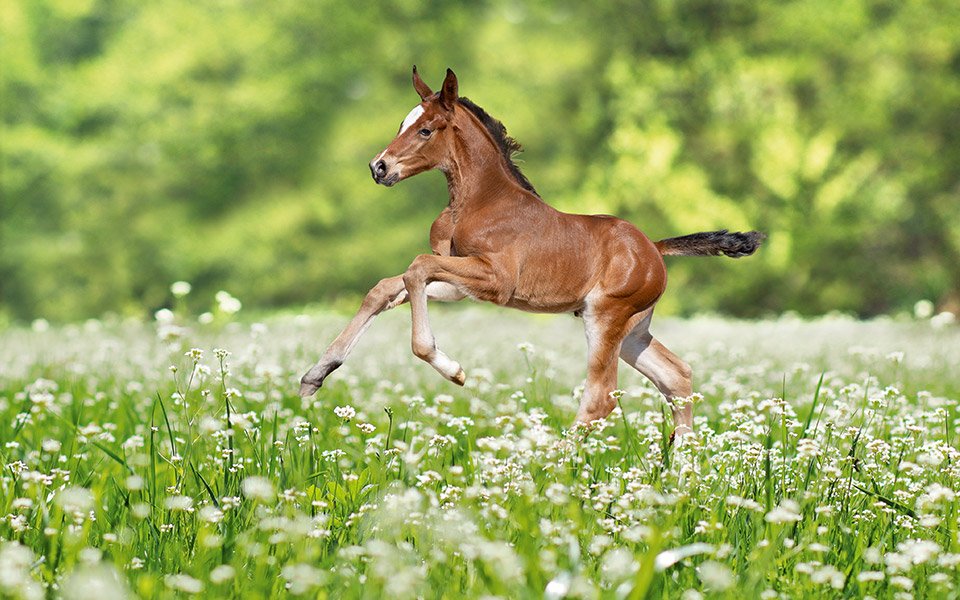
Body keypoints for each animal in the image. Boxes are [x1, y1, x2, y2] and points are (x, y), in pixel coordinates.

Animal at [300, 68, 764, 438]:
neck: (479, 200)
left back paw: (550, 470)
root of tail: (654, 248)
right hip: (633, 331)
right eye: (402, 123)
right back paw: (679, 476)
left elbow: (417, 267)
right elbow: (386, 287)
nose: (379, 167)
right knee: (677, 378)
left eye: (425, 130)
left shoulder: (497, 281)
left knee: (601, 398)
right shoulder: (461, 284)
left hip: (606, 318)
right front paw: (315, 376)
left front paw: (452, 369)